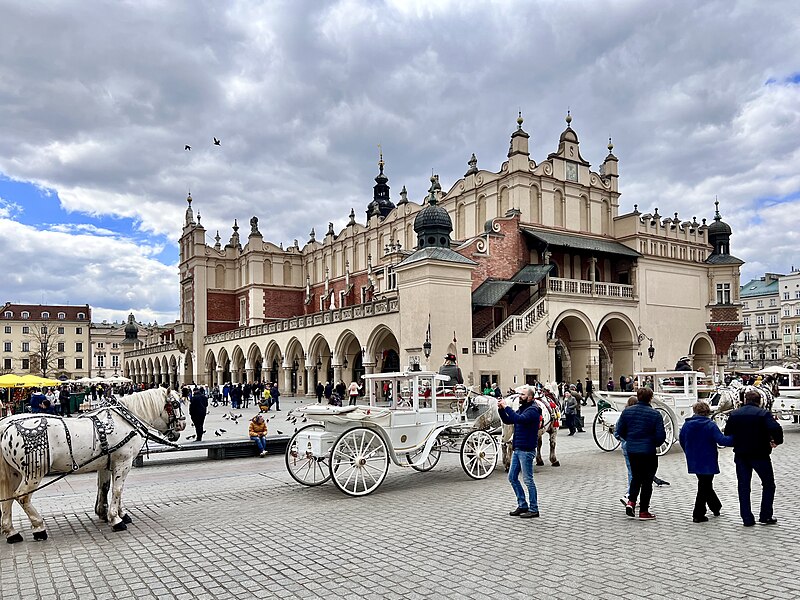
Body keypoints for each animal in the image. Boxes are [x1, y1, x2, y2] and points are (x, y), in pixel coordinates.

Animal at [0, 390, 184, 544]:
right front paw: (116, 519)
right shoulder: (123, 462)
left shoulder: (107, 463)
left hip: (14, 472)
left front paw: (109, 513)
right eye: (175, 404)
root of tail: (6, 426)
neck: (125, 420)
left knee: (7, 498)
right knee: (22, 497)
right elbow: (118, 489)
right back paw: (38, 527)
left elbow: (105, 487)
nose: (180, 429)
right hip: (34, 472)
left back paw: (11, 532)